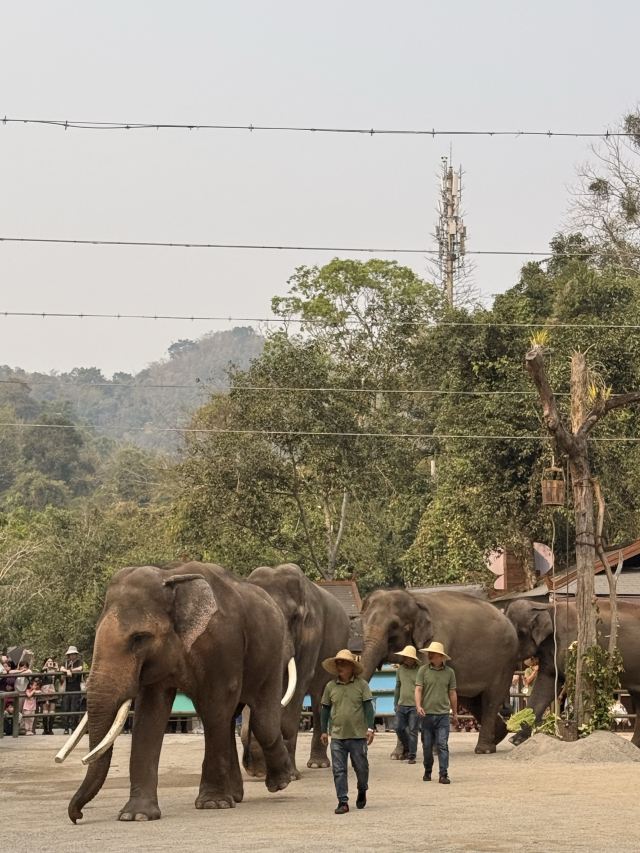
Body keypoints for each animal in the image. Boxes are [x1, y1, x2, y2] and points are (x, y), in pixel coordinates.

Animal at [62, 562, 296, 823]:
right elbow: (150, 715)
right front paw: (136, 815)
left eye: (139, 638)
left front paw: (212, 804)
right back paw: (236, 795)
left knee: (261, 719)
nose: (77, 816)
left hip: (274, 654)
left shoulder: (223, 646)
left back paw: (280, 782)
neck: (171, 577)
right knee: (231, 721)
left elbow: (215, 706)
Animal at [241, 563, 350, 777]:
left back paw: (317, 764)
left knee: (320, 700)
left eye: (293, 618)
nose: (252, 768)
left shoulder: (312, 633)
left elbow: (299, 685)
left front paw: (290, 774)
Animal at [360, 588, 519, 754]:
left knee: (491, 700)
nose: (368, 739)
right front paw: (398, 755)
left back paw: (484, 750)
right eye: (362, 624)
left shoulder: (435, 641)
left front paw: (430, 752)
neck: (414, 599)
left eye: (394, 626)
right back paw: (498, 737)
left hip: (504, 662)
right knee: (472, 701)